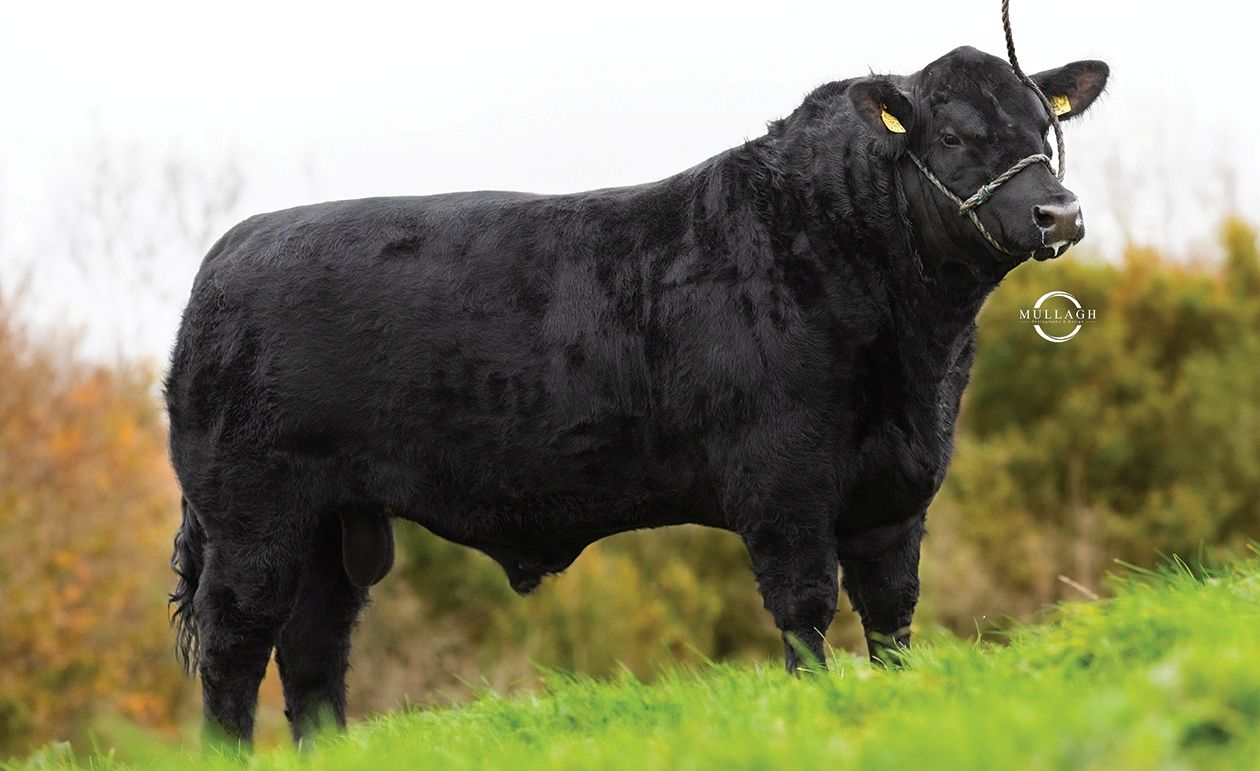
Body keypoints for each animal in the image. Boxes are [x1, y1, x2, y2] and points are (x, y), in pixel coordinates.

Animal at [166, 45, 1108, 745]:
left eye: (1045, 125)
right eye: (952, 136)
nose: (1059, 214)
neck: (915, 353)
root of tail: (230, 252)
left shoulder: (897, 490)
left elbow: (892, 617)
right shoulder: (786, 486)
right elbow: (805, 612)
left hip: (335, 526)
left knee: (315, 652)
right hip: (253, 516)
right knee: (234, 646)